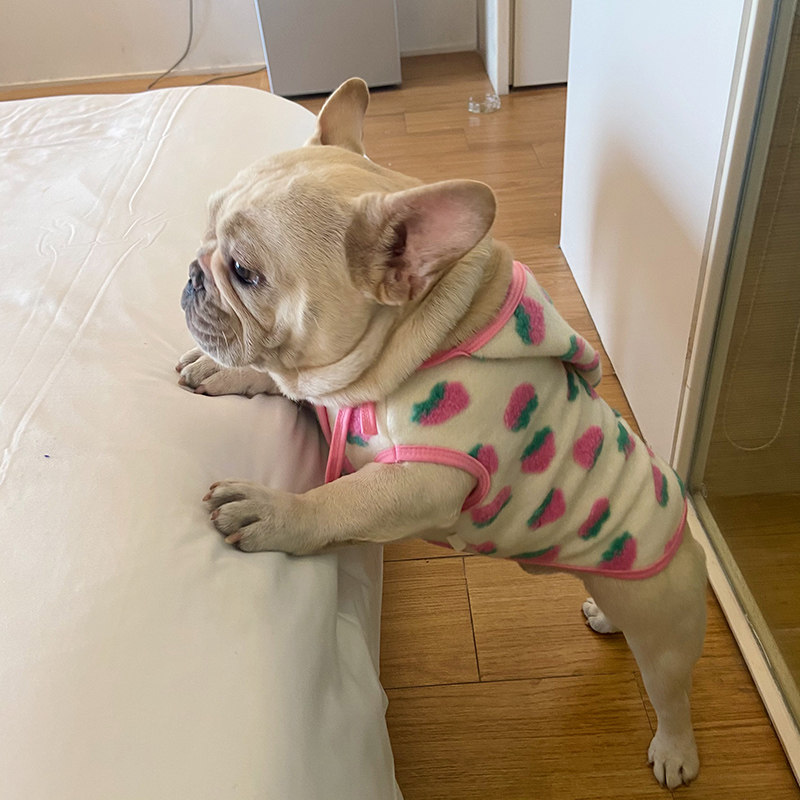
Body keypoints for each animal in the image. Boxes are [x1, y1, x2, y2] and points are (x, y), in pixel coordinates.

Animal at [178, 78, 707, 790]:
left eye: (244, 271)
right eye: (207, 229)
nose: (192, 271)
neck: (407, 351)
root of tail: (686, 529)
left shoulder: (421, 481)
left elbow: (338, 500)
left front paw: (271, 510)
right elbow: (278, 381)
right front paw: (224, 373)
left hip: (665, 624)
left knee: (670, 689)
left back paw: (675, 752)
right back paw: (602, 615)